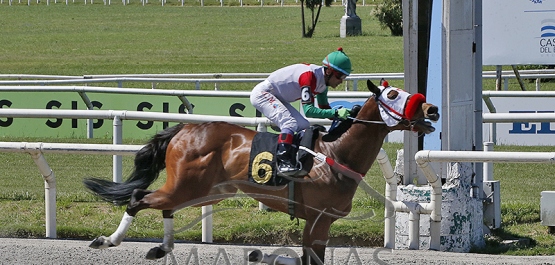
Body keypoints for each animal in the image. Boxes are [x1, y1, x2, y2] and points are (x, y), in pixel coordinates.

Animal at [83, 79, 438, 262]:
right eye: (393, 94)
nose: (432, 108)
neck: (337, 153)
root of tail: (184, 129)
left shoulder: (318, 223)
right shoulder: (319, 219)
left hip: (204, 190)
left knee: (164, 205)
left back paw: (162, 247)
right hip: (189, 185)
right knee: (139, 197)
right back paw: (107, 241)